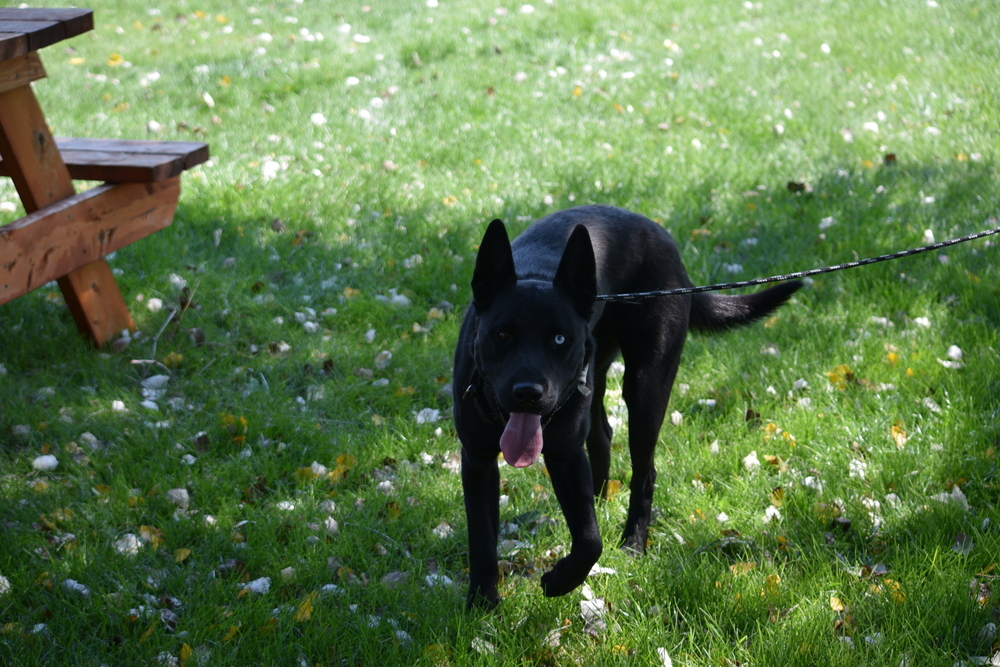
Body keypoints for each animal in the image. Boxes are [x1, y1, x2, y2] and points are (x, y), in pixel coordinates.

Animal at [458, 206, 800, 608]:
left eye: (559, 338)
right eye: (502, 334)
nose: (528, 393)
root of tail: (662, 237)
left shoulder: (565, 454)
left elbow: (590, 542)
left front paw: (558, 581)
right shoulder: (478, 458)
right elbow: (482, 536)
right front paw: (482, 601)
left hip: (645, 388)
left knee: (644, 472)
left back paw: (634, 542)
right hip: (595, 375)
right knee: (602, 436)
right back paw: (598, 497)